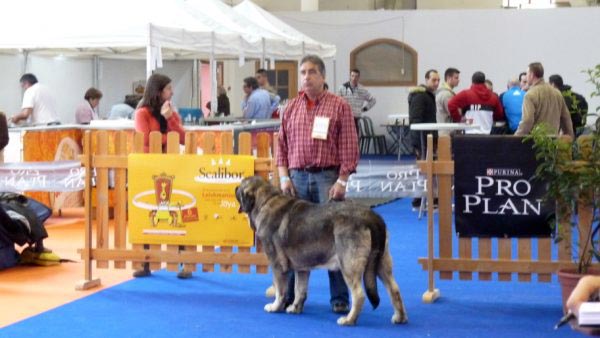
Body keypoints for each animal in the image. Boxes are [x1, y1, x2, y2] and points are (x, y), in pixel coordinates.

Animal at [234, 176, 408, 326]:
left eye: (241, 186)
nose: (235, 187)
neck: (265, 201)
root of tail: (371, 216)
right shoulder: (302, 268)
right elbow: (300, 290)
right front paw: (295, 308)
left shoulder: (277, 265)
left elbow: (280, 289)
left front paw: (275, 306)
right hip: (381, 262)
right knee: (394, 289)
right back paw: (400, 317)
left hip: (349, 265)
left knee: (359, 295)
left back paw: (349, 320)